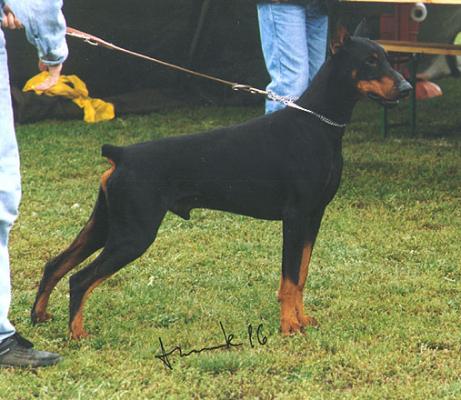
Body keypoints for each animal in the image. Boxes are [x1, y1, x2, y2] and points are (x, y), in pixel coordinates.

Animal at [29, 32, 410, 338]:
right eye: (370, 61)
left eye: (387, 57)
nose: (406, 88)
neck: (318, 124)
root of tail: (121, 154)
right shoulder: (296, 216)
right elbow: (289, 279)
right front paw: (289, 326)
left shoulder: (314, 217)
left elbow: (300, 275)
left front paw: (303, 320)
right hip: (134, 234)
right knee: (80, 279)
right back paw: (77, 334)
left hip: (107, 223)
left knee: (56, 265)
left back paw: (39, 316)